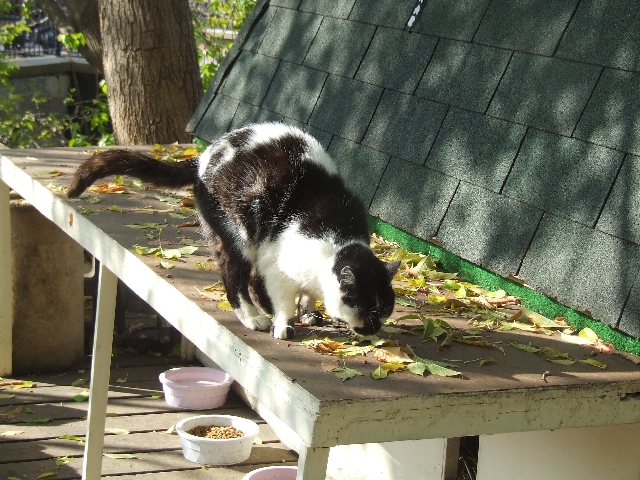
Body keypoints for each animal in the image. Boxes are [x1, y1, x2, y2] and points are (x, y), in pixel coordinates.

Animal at [67, 122, 399, 339]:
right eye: (366, 309)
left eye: (384, 311)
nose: (374, 330)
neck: (335, 241)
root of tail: (202, 158)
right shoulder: (278, 265)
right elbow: (282, 297)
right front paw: (283, 322)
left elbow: (304, 295)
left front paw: (307, 311)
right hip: (240, 233)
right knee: (234, 276)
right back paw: (254, 318)